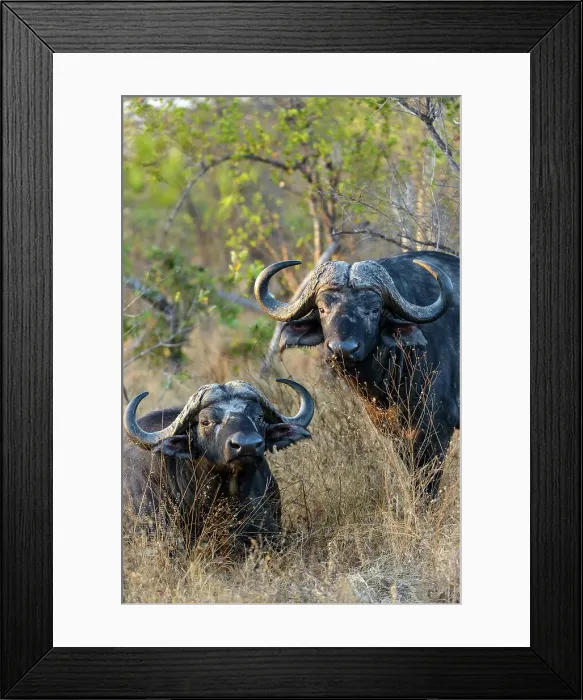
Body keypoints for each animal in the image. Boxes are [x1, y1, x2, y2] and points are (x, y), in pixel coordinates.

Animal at [255, 251, 459, 496]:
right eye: (322, 309)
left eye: (374, 310)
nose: (342, 349)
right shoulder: (395, 434)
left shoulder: (435, 431)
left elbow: (426, 487)